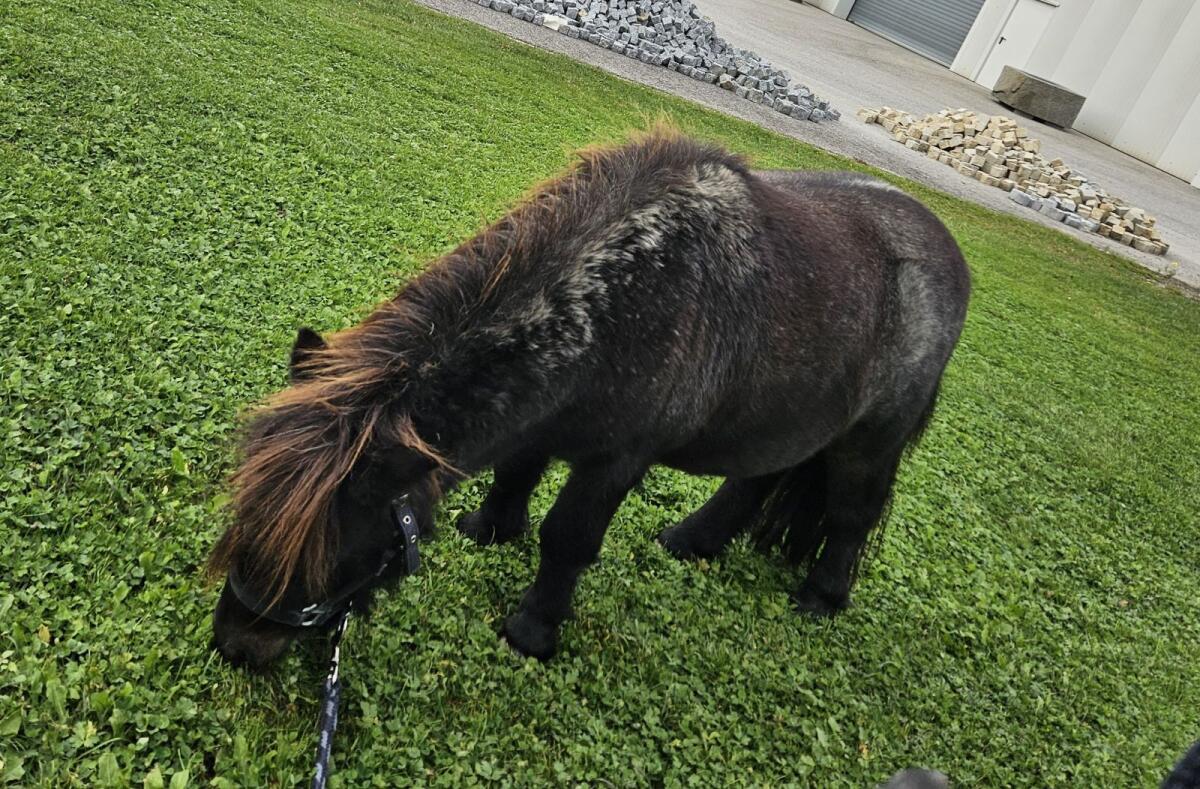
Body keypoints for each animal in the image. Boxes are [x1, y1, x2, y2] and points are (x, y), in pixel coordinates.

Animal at [209, 129, 971, 667]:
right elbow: (514, 475)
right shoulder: (542, 422)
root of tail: (947, 252)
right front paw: (491, 528)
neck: (623, 298)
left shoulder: (615, 459)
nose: (236, 646)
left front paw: (532, 629)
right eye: (241, 517)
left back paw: (819, 596)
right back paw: (691, 540)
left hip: (868, 441)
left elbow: (568, 537)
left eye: (332, 556)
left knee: (850, 513)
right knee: (755, 479)